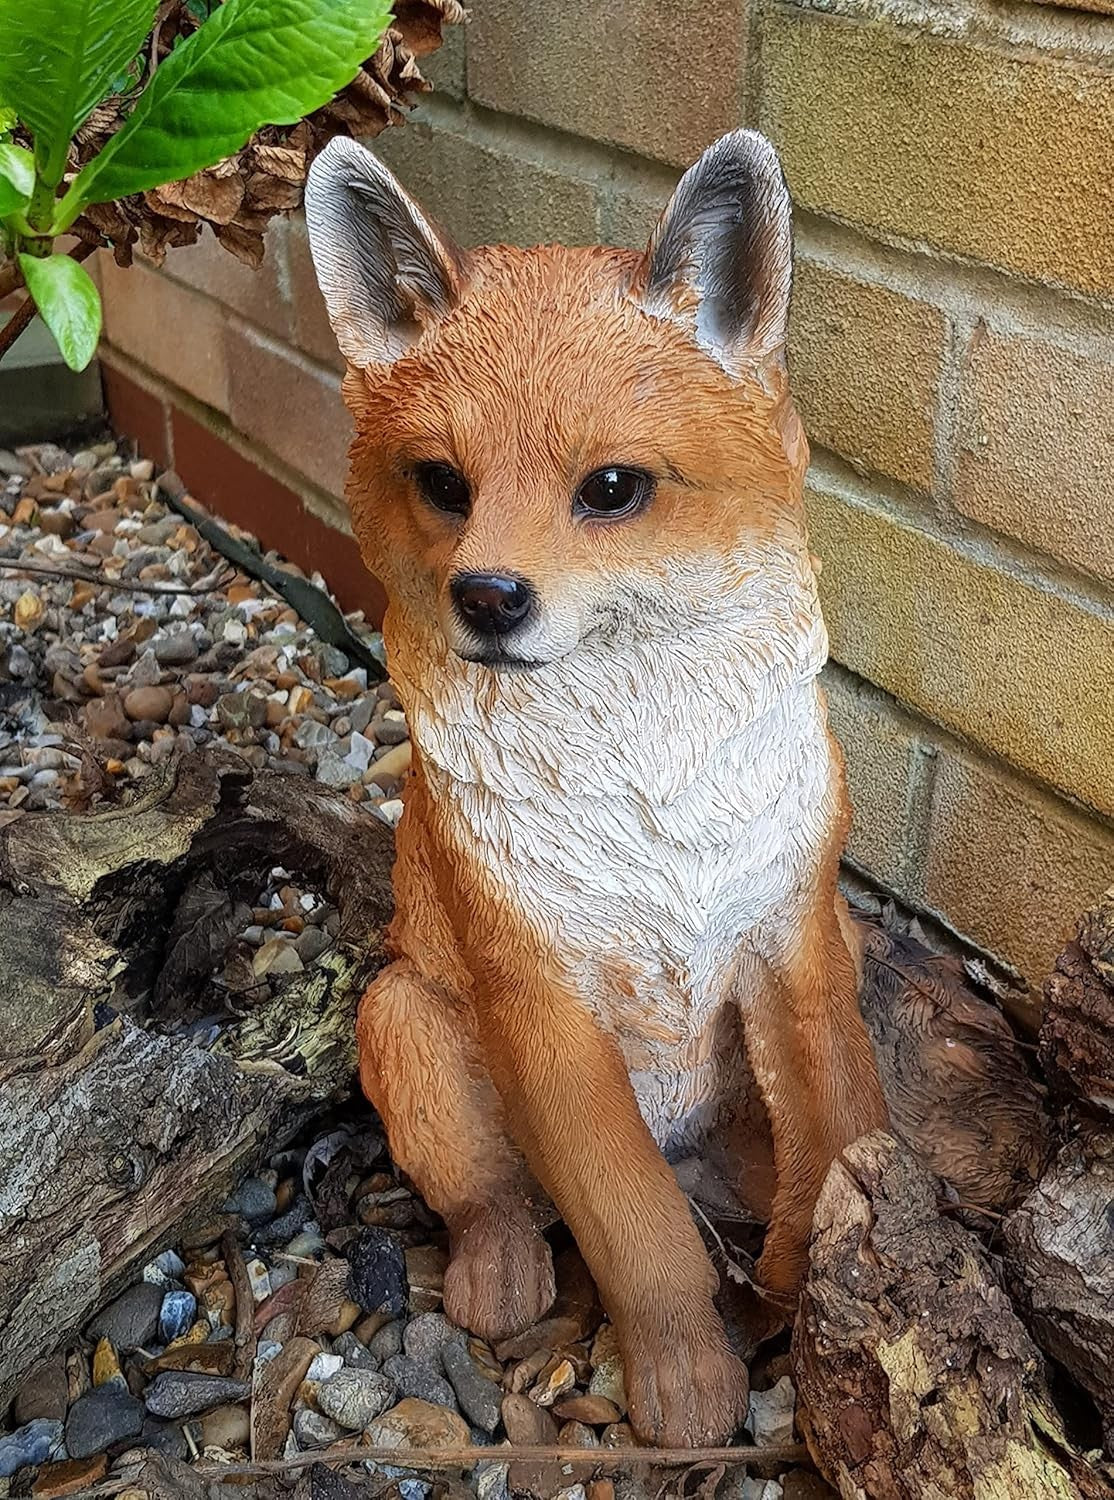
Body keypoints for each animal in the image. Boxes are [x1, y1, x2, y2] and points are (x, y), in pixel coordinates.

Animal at [304, 128, 888, 1447]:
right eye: (443, 483)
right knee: (497, 1201)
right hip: (402, 1015)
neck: (650, 797)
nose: (486, 597)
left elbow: (834, 1145)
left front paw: (814, 1306)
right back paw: (500, 1274)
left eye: (611, 489)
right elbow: (634, 1233)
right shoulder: (540, 1003)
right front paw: (686, 1386)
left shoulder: (796, 937)